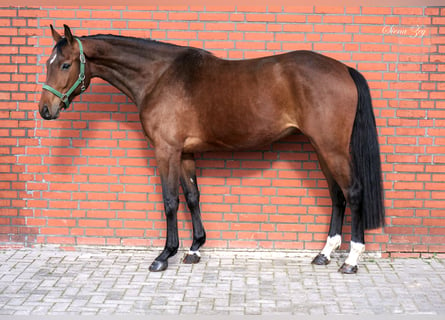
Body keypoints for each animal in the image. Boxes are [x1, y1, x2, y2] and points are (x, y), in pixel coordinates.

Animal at [39, 25, 386, 276]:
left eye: (66, 64)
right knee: (337, 195)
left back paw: (351, 259)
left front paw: (164, 255)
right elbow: (193, 197)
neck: (159, 76)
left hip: (332, 148)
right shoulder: (185, 154)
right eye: (48, 63)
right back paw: (324, 254)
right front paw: (194, 249)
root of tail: (343, 68)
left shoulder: (166, 151)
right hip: (321, 148)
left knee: (353, 192)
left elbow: (170, 201)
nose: (45, 109)